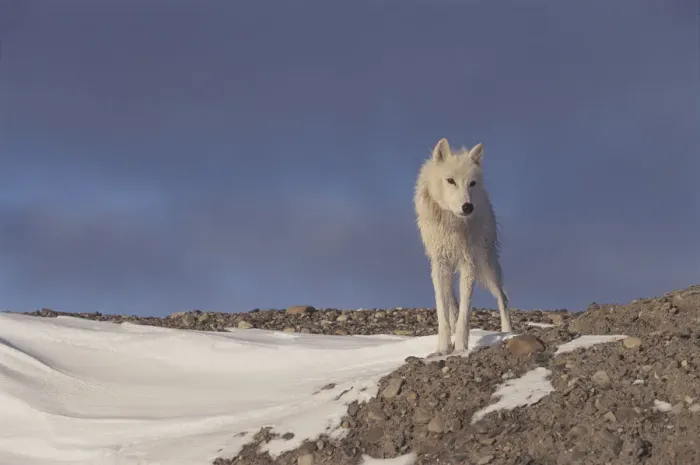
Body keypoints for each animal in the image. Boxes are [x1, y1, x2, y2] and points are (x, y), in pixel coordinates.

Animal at [414, 137, 513, 356]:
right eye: (450, 180)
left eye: (471, 183)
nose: (468, 207)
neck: (452, 223)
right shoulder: (439, 264)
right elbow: (443, 311)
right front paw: (443, 347)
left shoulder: (469, 263)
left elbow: (465, 312)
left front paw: (460, 347)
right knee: (452, 300)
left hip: (487, 265)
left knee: (503, 296)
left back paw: (508, 332)